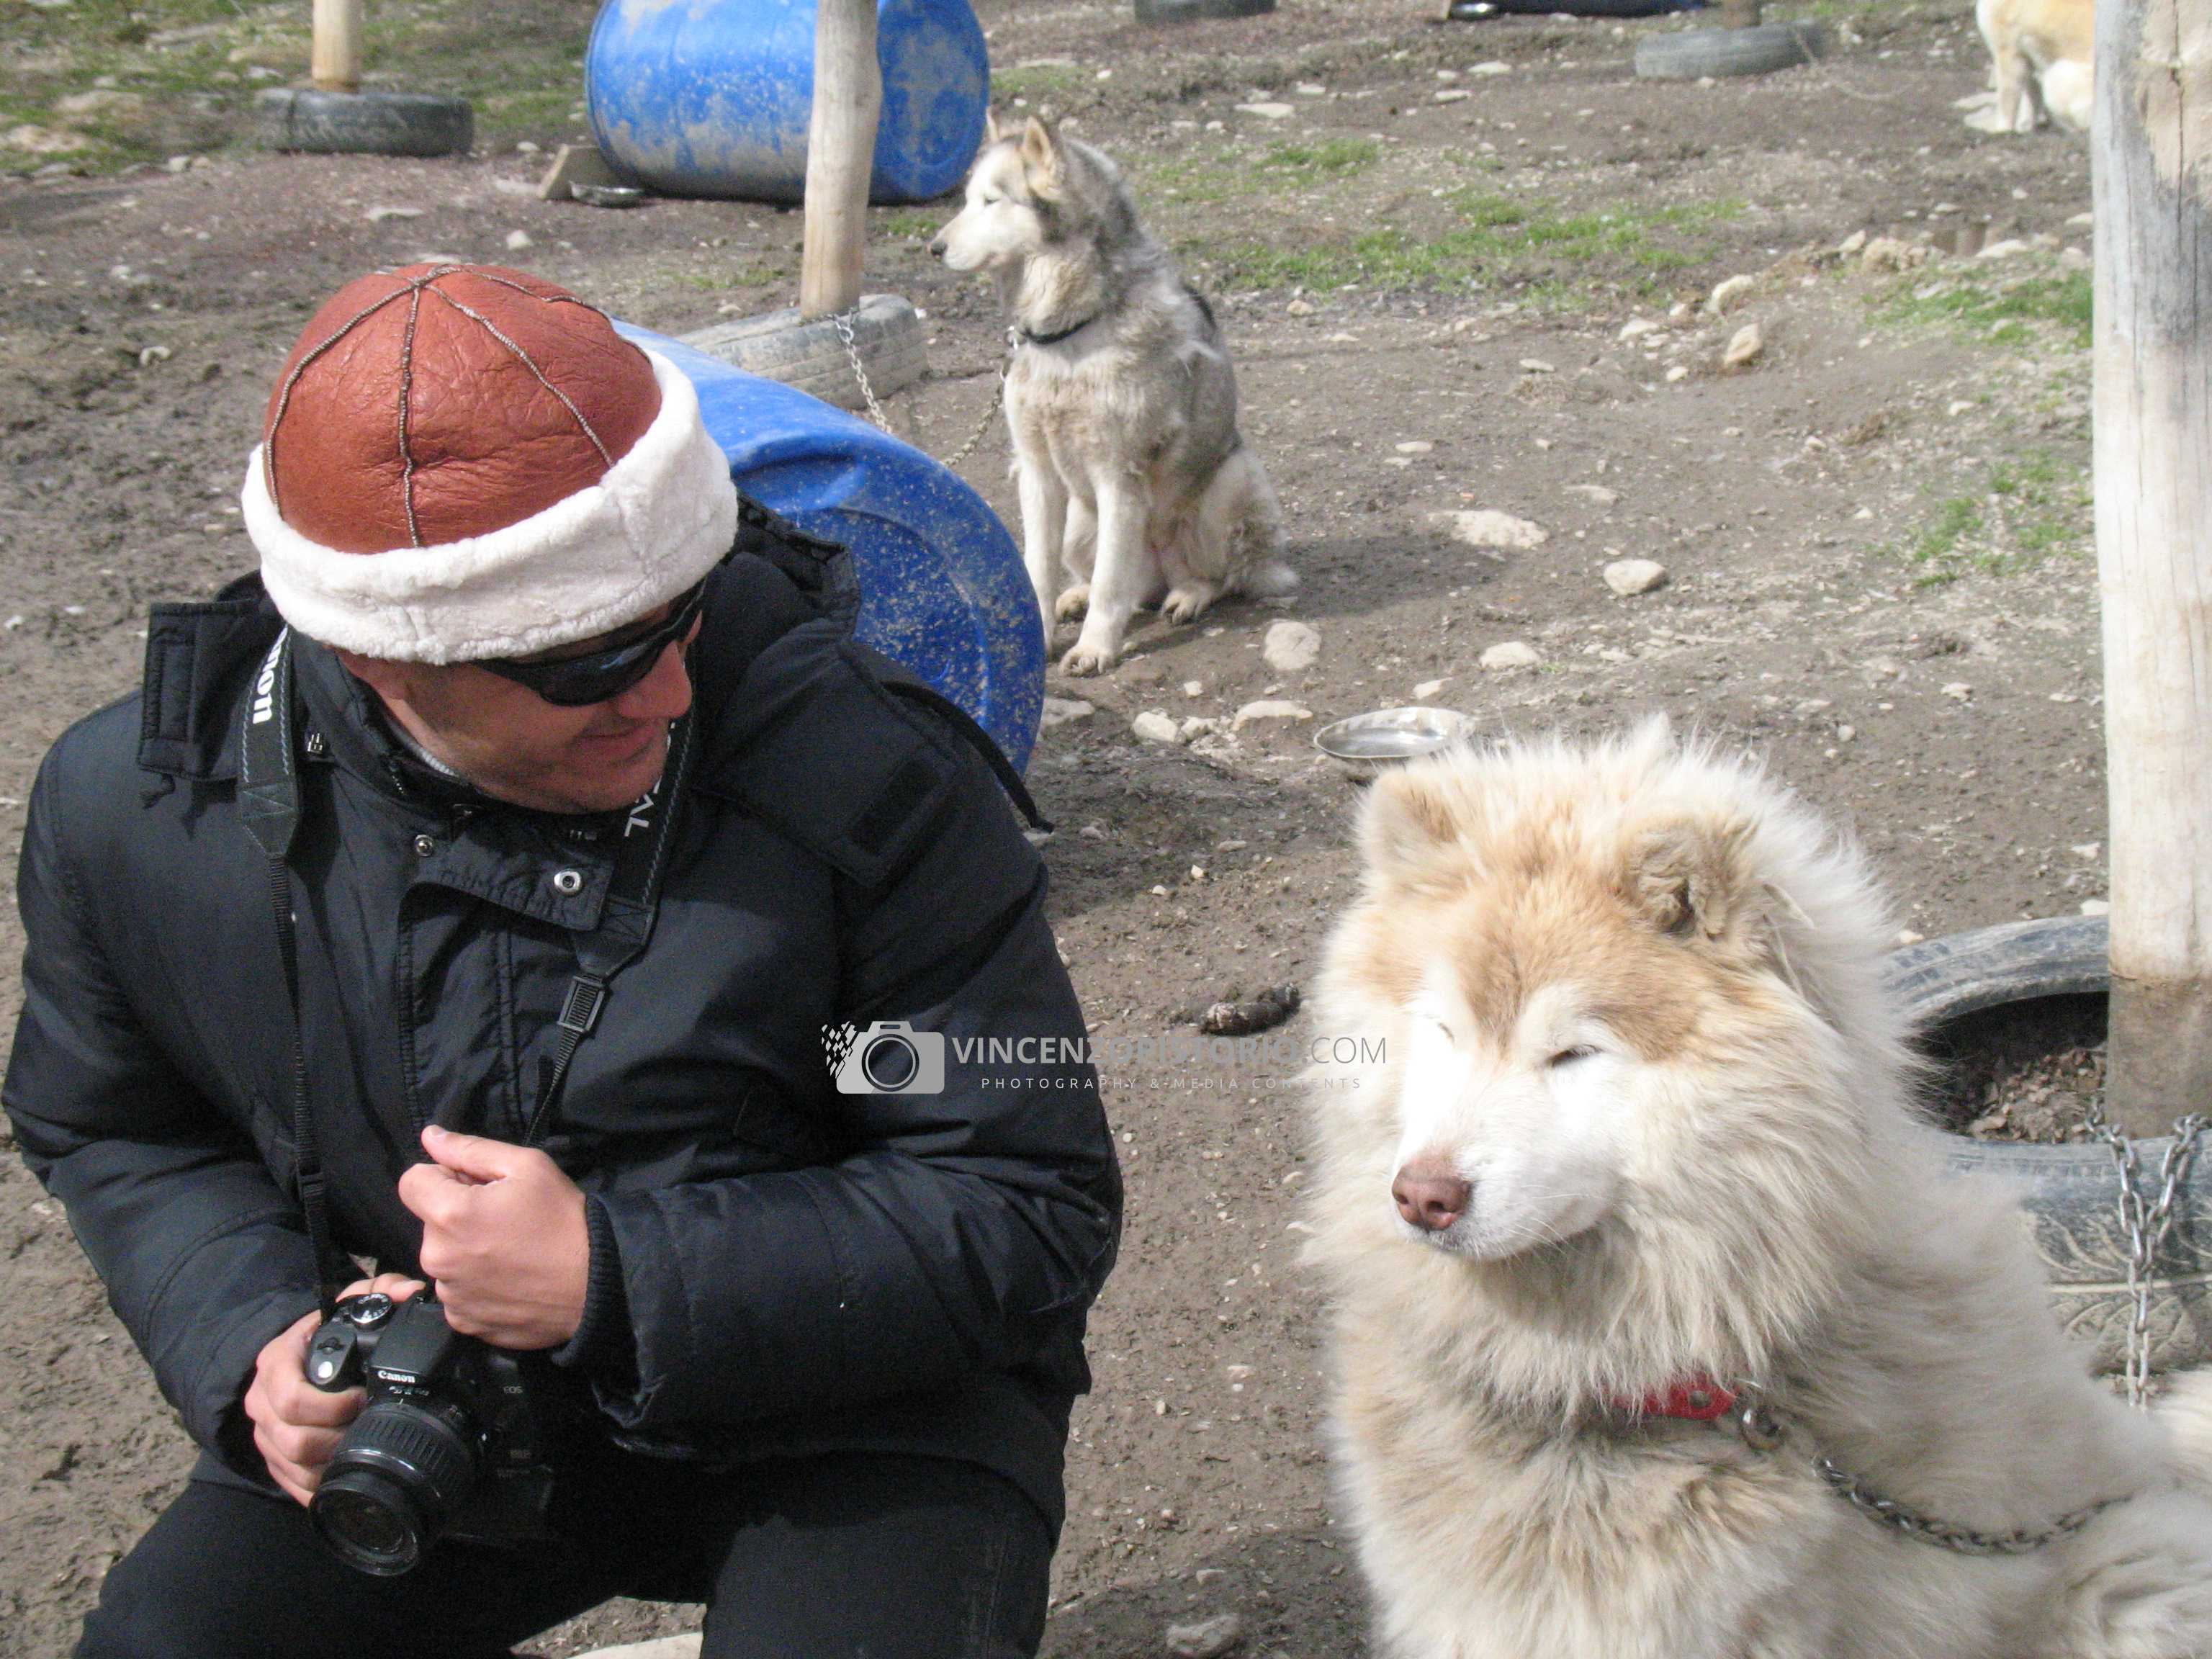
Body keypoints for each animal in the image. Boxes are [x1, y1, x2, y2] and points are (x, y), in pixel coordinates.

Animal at [933, 115, 1292, 677]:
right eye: (967, 200)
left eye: (991, 201)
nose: (934, 247)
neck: (1068, 335)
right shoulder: (1037, 474)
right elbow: (1037, 571)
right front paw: (1044, 633)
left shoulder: (1118, 478)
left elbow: (1109, 585)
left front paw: (1094, 649)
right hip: (1081, 520)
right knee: (1131, 589)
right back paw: (1078, 596)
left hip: (1227, 485)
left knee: (1207, 579)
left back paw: (1188, 596)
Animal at [1973, 0, 2087, 135]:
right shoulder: (2028, 59)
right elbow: (2031, 97)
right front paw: (2027, 127)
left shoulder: (2008, 53)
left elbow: (2006, 99)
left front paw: (2002, 130)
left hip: (2058, 73)